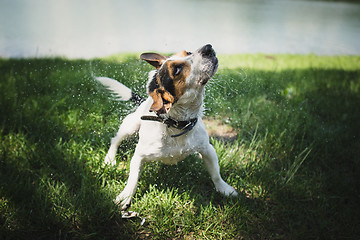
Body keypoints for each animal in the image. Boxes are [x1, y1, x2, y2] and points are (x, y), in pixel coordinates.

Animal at [98, 44, 238, 209]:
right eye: (177, 70)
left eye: (188, 52)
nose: (208, 47)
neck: (176, 124)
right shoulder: (139, 156)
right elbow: (133, 178)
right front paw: (125, 196)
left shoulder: (207, 149)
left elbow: (216, 174)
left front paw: (224, 189)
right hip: (130, 125)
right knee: (115, 140)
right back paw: (109, 159)